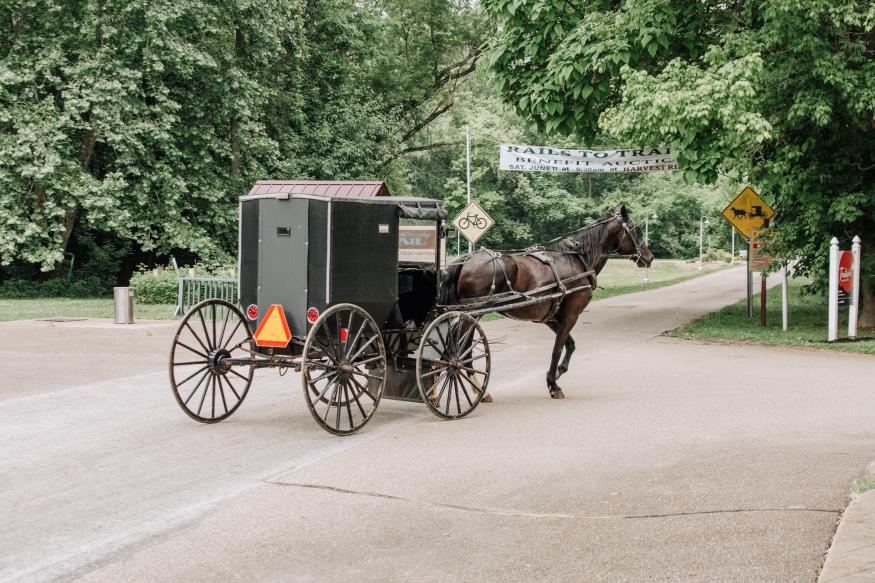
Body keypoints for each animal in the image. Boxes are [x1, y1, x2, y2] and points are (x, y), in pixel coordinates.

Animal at [442, 206, 652, 402]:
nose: (649, 257)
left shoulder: (550, 318)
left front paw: (558, 372)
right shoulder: (571, 314)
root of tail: (467, 259)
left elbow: (570, 345)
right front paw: (553, 384)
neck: (576, 259)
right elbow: (557, 349)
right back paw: (477, 388)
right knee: (462, 350)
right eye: (636, 229)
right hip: (474, 313)